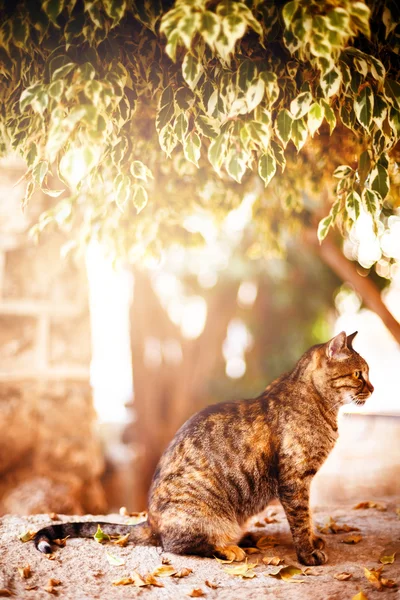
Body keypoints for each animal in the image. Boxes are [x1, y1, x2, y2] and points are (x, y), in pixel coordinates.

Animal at [33, 330, 372, 564]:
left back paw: (245, 537)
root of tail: (150, 523)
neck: (322, 407)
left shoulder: (302, 482)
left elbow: (309, 517)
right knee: (178, 546)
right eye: (359, 374)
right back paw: (229, 547)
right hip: (201, 513)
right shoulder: (294, 480)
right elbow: (301, 518)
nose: (372, 387)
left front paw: (314, 539)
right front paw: (307, 553)